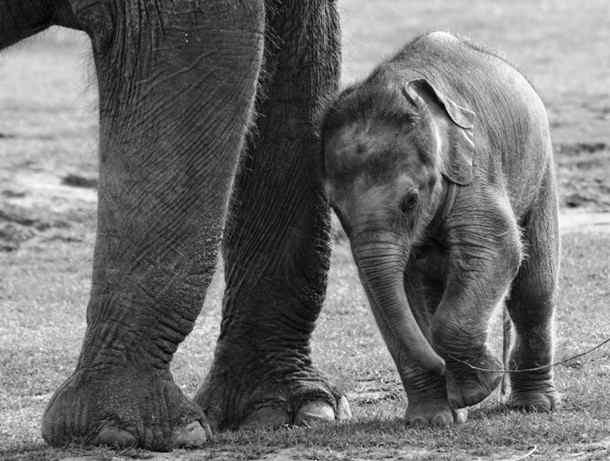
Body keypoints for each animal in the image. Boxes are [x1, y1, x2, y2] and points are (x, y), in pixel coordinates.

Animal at [320, 32, 560, 426]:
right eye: (336, 209)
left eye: (410, 201)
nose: (443, 369)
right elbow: (391, 288)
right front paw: (432, 418)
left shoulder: (474, 168)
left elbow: (496, 248)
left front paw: (472, 390)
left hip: (540, 171)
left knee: (533, 289)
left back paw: (533, 405)